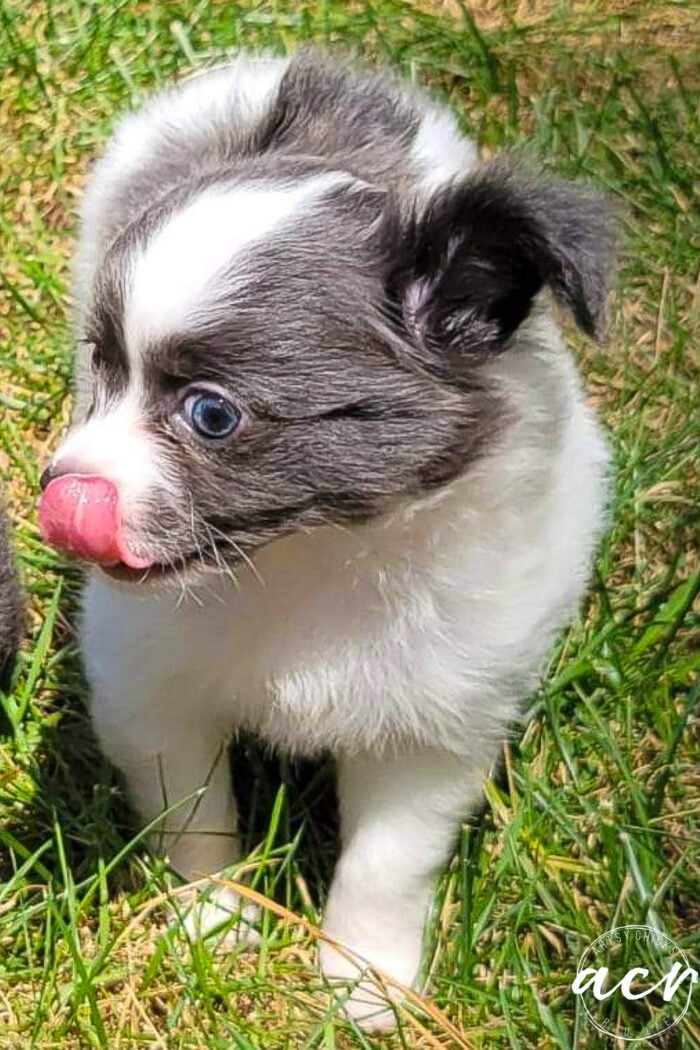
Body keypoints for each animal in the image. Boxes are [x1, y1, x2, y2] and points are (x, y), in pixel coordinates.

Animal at [41, 53, 617, 1029]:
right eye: (102, 371)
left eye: (211, 415)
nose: (60, 493)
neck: (312, 555)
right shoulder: (152, 687)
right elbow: (194, 815)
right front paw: (214, 923)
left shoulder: (434, 727)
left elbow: (386, 863)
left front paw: (364, 984)